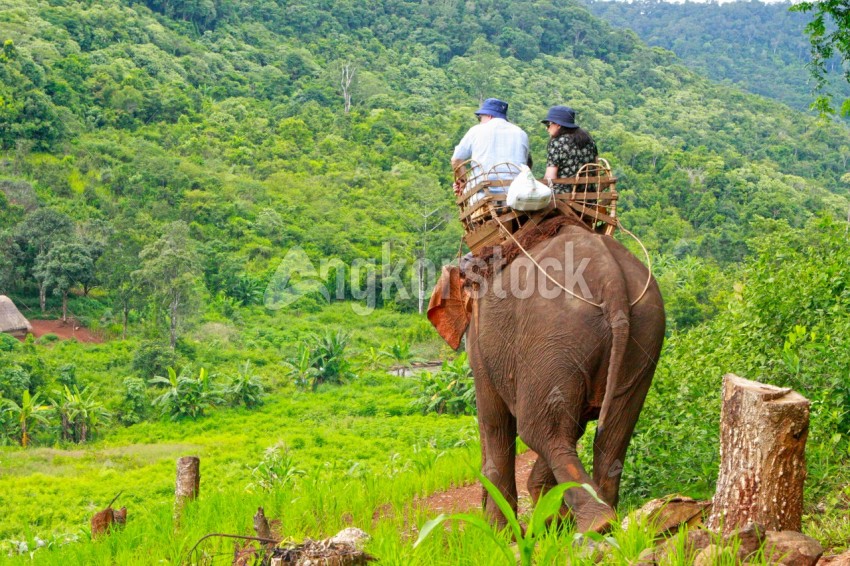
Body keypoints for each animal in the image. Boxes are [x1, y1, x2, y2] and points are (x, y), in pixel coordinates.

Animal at [429, 214, 665, 533]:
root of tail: (612, 279)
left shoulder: (481, 340)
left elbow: (495, 423)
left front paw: (501, 534)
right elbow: (574, 424)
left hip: (552, 335)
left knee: (540, 431)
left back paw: (594, 523)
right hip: (642, 333)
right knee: (613, 431)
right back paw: (593, 520)